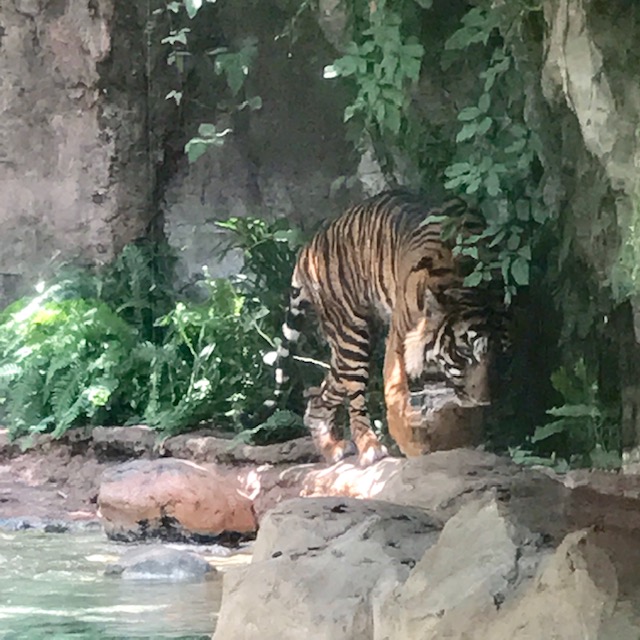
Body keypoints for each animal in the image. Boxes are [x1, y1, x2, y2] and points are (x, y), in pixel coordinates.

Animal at [270, 190, 504, 464]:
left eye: (496, 355)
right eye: (465, 352)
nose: (483, 401)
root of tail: (310, 247)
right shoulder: (399, 338)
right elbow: (395, 396)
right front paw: (411, 445)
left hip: (343, 354)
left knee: (320, 398)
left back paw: (332, 448)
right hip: (352, 338)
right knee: (355, 401)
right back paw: (370, 447)